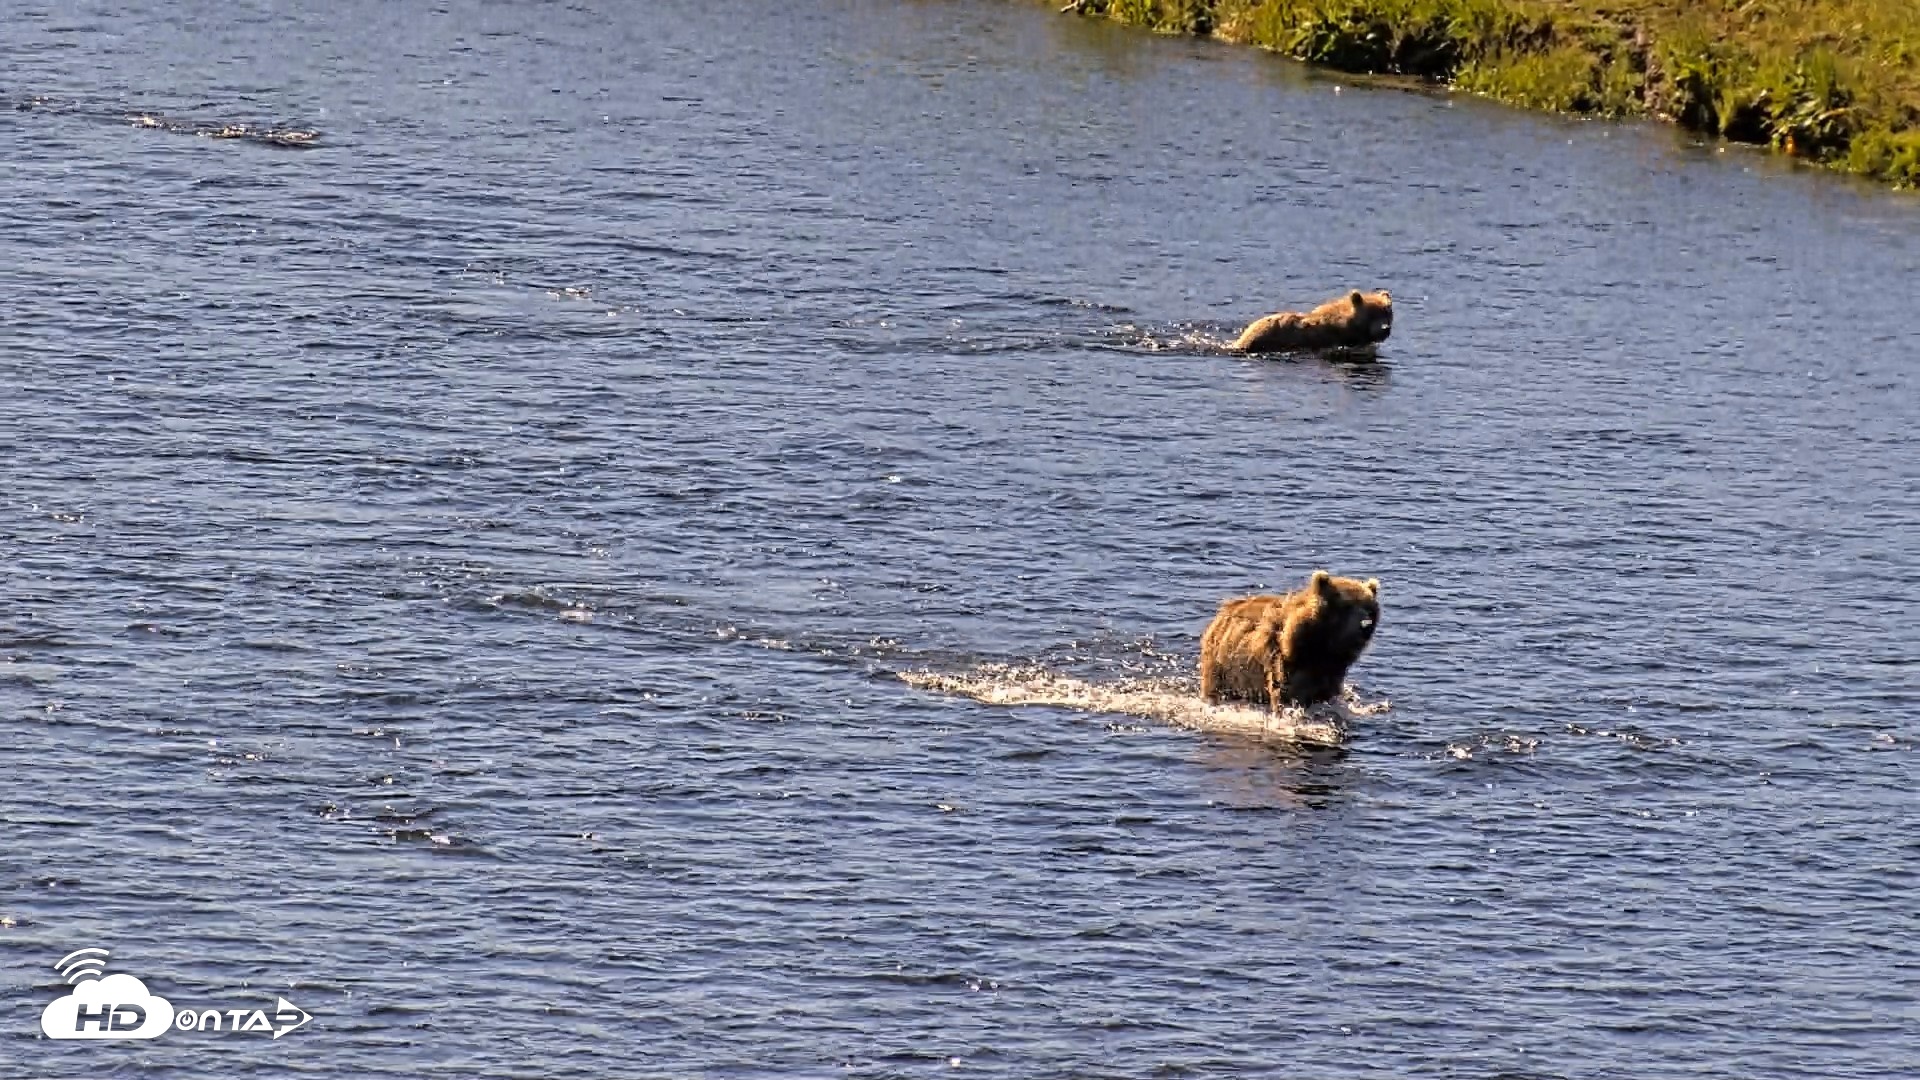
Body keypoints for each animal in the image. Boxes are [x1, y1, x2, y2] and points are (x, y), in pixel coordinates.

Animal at [1198, 570, 1380, 709]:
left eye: (1369, 607)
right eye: (1346, 605)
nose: (1365, 624)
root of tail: (1223, 609)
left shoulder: (1330, 669)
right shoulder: (1283, 661)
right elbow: (1285, 694)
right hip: (1222, 665)